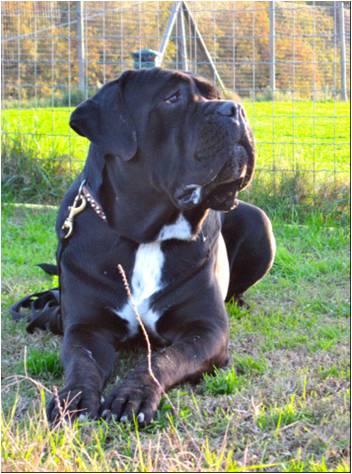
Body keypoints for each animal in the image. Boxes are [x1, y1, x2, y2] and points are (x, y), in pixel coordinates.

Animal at [13, 67, 276, 426]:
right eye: (172, 98)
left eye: (214, 94)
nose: (235, 109)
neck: (147, 236)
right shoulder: (86, 327)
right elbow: (81, 361)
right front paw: (75, 397)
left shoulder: (206, 329)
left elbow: (163, 359)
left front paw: (133, 395)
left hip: (259, 222)